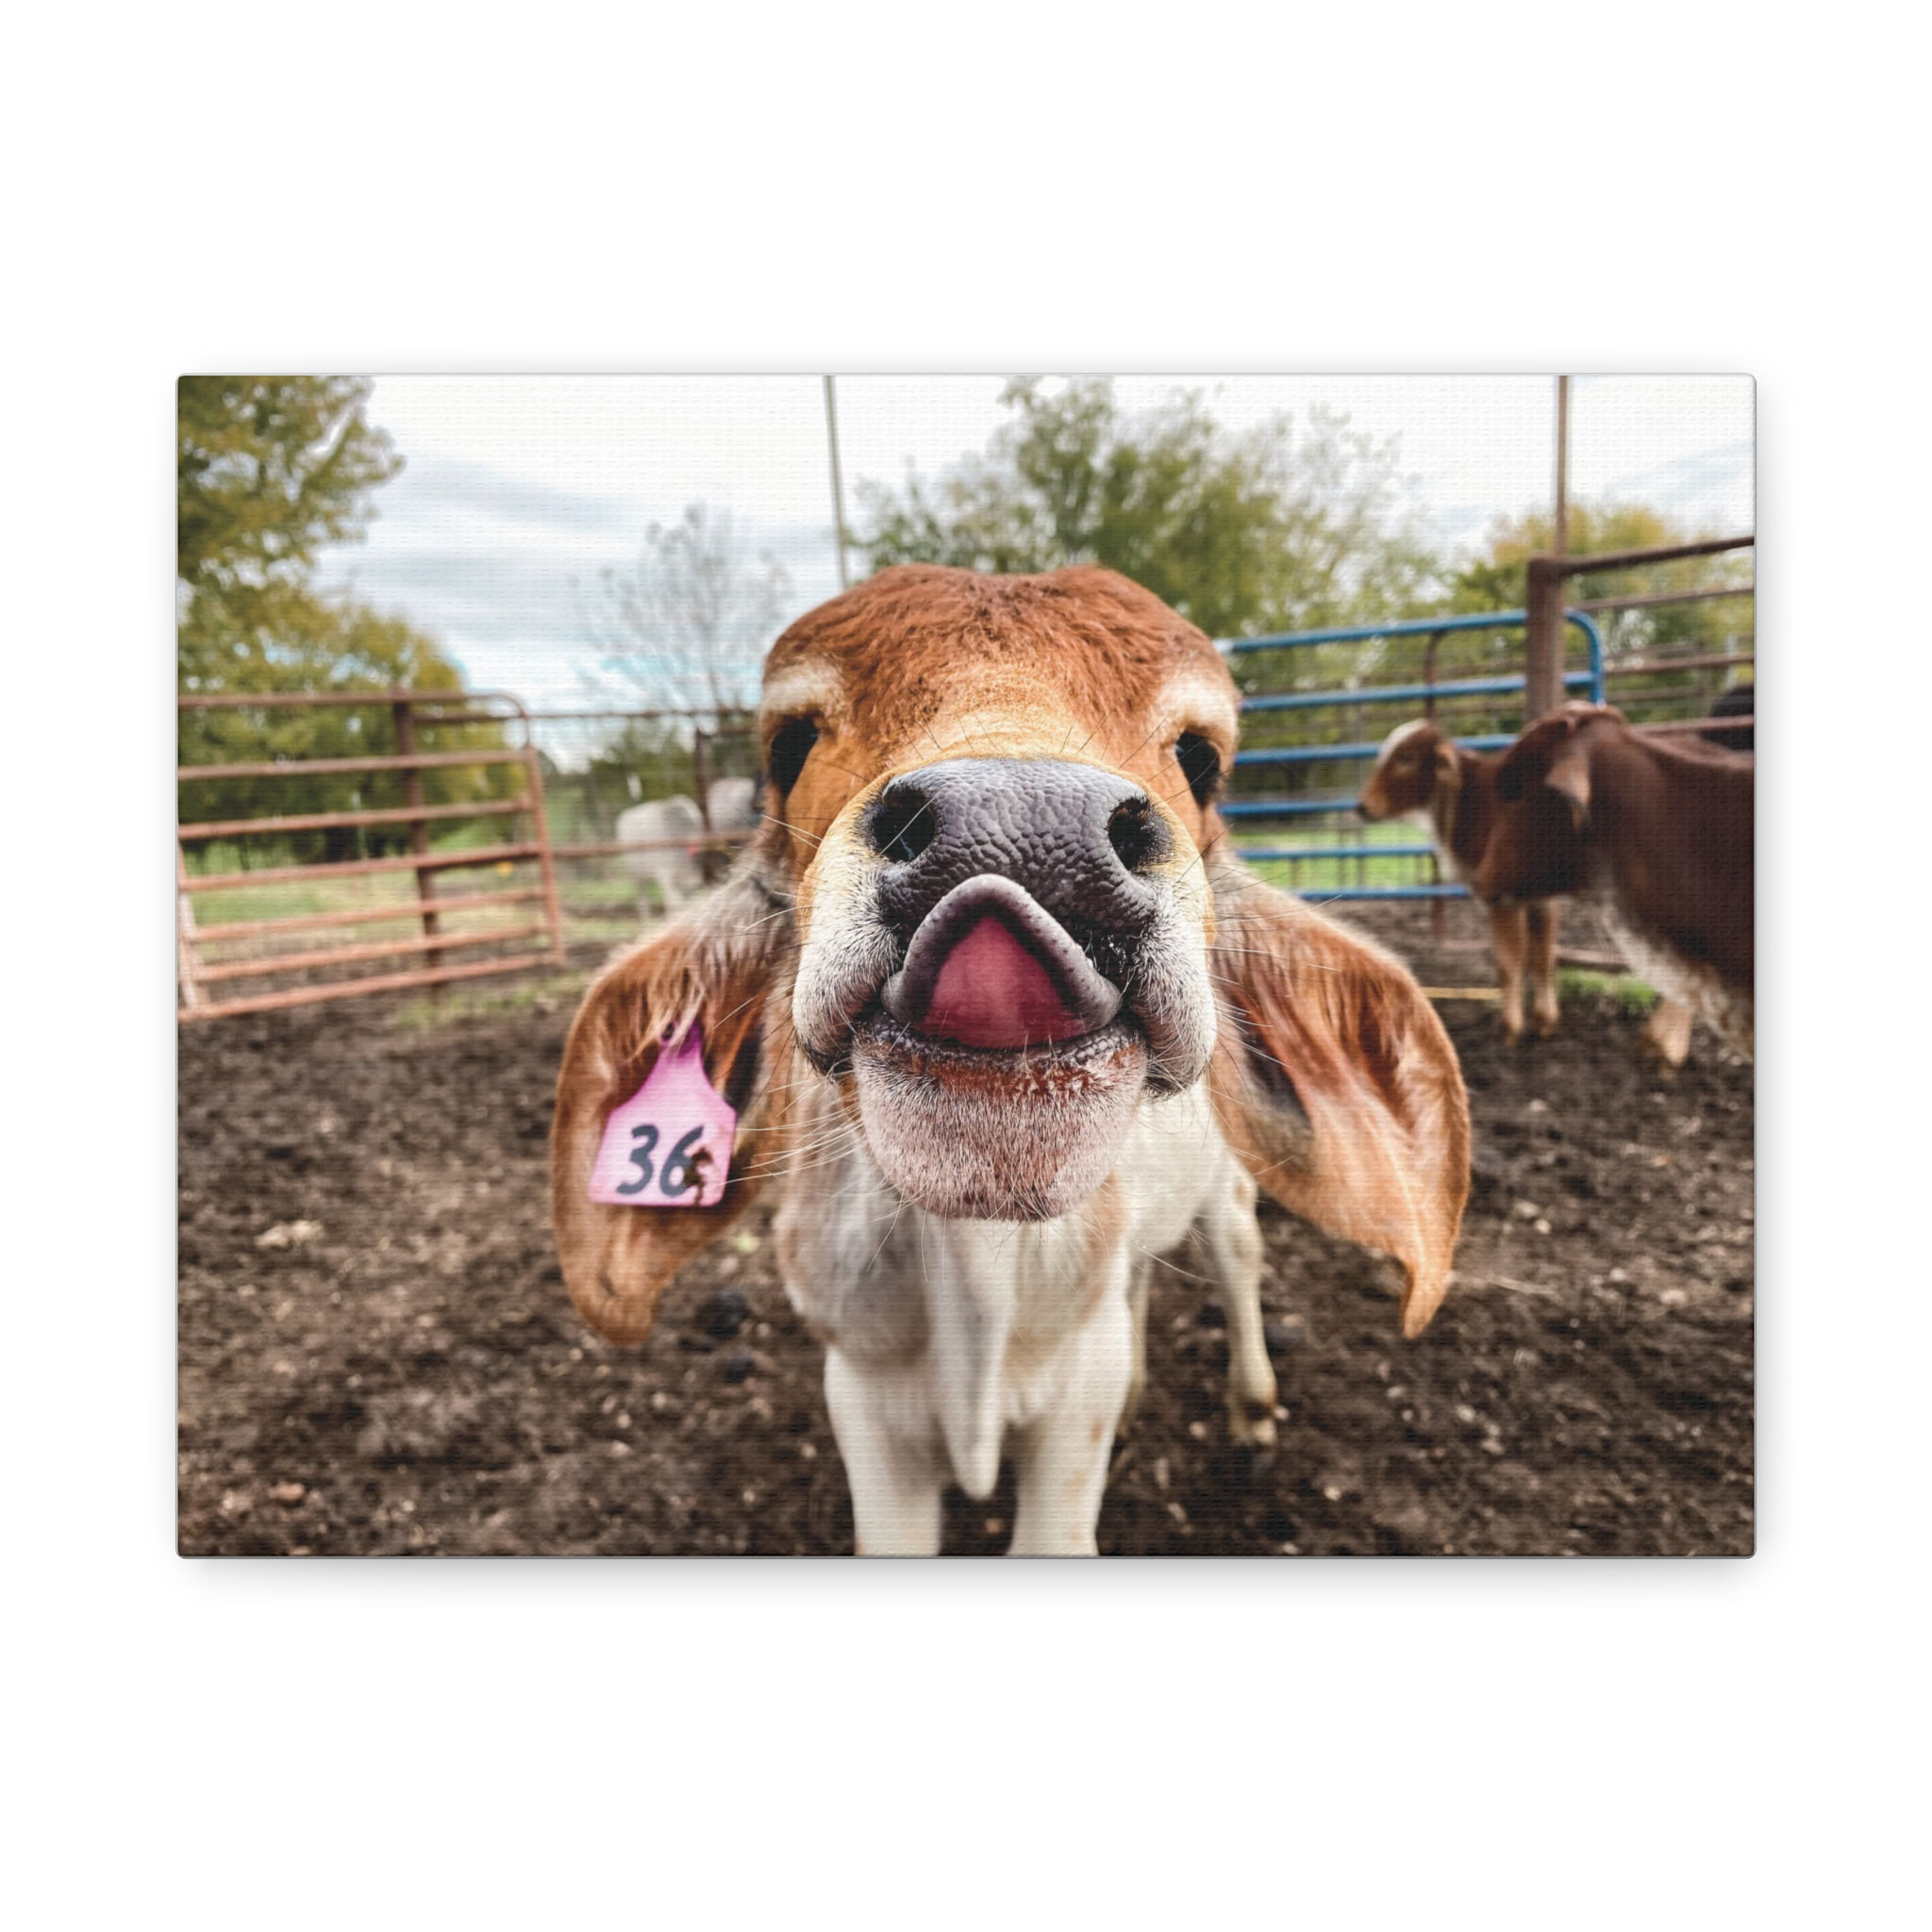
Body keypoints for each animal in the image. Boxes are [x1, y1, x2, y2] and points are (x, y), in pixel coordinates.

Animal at [615, 777, 760, 920]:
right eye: (715, 852)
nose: (729, 872)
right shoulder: (665, 876)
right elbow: (674, 906)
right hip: (635, 875)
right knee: (642, 900)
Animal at [1356, 719, 1563, 1044]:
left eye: (1407, 758)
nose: (1363, 806)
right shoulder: (1541, 897)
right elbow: (1542, 957)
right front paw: (1544, 1022)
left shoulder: (1503, 896)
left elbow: (1511, 962)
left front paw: (1510, 1029)